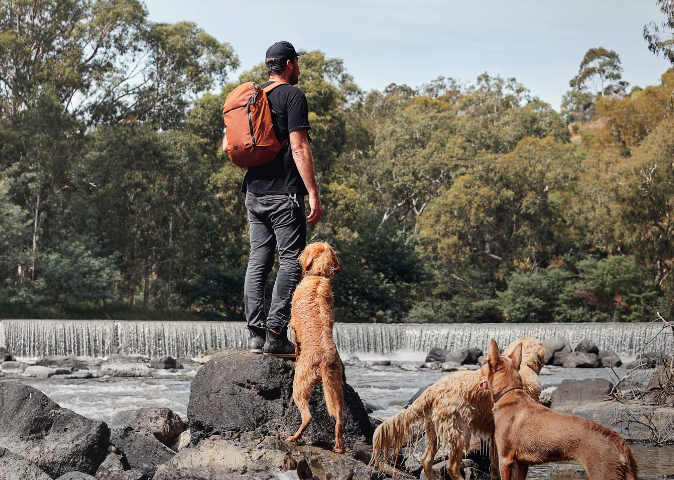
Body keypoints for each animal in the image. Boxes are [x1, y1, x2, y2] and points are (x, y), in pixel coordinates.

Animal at [284, 242, 344, 456]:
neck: (318, 276)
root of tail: (324, 361)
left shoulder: (293, 324)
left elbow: (296, 346)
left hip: (299, 386)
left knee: (307, 416)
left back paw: (294, 437)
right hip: (336, 388)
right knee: (339, 418)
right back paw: (338, 447)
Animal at [370, 338, 544, 480]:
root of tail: (433, 389)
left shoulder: (496, 434)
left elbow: (495, 464)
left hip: (434, 430)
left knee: (426, 460)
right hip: (460, 431)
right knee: (452, 466)